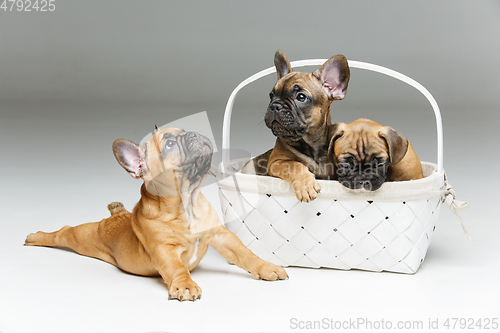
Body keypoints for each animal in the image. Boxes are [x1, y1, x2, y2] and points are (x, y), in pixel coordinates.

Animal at [25, 126, 288, 300]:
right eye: (169, 144)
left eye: (186, 131)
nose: (194, 133)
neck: (186, 203)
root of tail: (116, 215)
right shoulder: (164, 250)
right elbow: (177, 268)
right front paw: (185, 285)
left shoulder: (221, 236)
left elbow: (245, 253)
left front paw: (267, 267)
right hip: (85, 237)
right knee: (64, 232)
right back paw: (35, 237)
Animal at [243, 49, 352, 200]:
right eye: (271, 95)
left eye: (301, 97)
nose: (275, 105)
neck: (311, 145)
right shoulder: (276, 162)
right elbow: (295, 165)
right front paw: (306, 186)